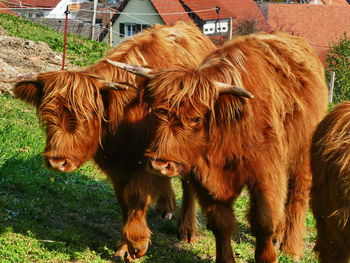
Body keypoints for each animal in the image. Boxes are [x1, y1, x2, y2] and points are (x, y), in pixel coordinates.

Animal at [113, 32, 330, 262]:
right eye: (158, 112)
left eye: (196, 119)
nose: (160, 165)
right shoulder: (206, 181)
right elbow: (221, 224)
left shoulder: (266, 175)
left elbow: (263, 222)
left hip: (302, 156)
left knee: (297, 196)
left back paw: (291, 247)